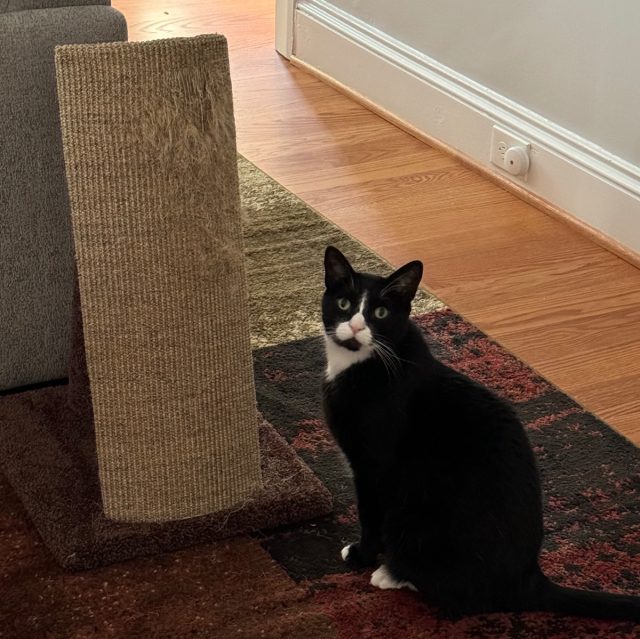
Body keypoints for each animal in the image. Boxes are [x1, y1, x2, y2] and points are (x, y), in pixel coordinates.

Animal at [322, 245, 640, 620]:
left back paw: (392, 574)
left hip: (419, 519)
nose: (356, 325)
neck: (363, 363)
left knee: (464, 599)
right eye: (344, 304)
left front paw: (361, 555)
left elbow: (370, 517)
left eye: (380, 312)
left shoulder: (373, 468)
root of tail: (528, 576)